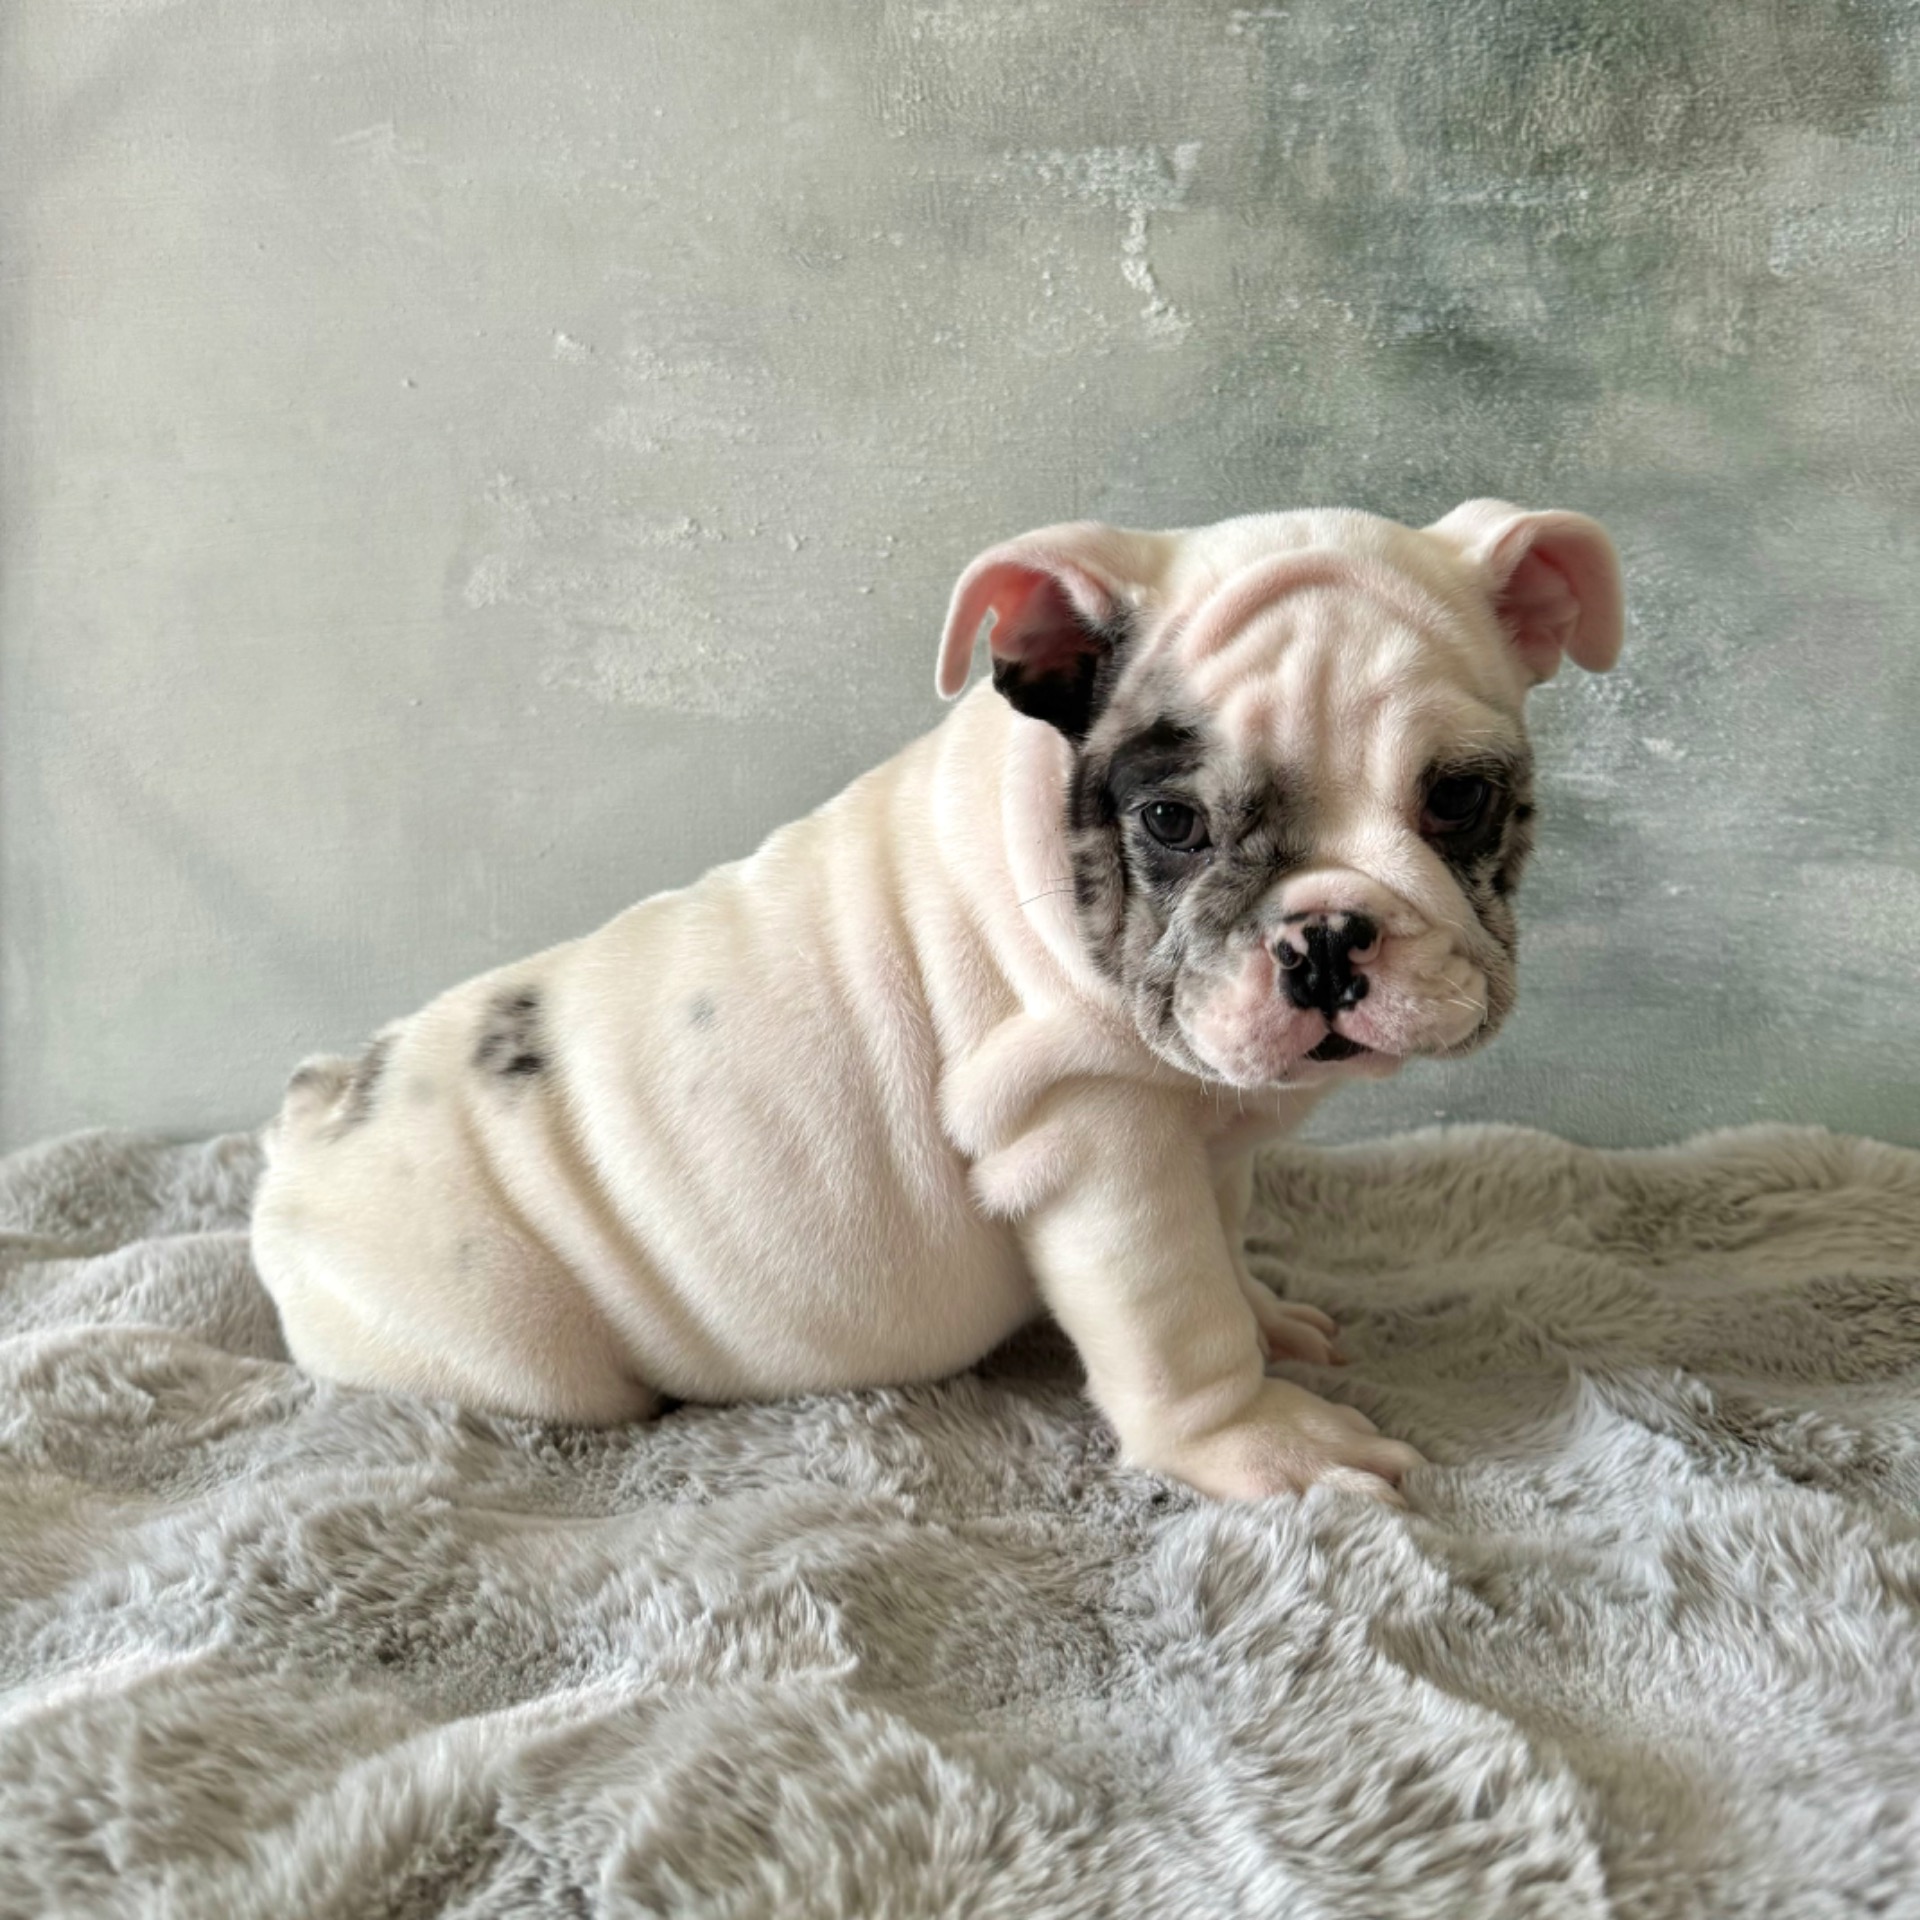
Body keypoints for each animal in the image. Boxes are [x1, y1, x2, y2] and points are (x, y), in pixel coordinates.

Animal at [251, 499, 1623, 1501]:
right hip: (503, 1348)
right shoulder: (1099, 1142)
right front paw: (1260, 1439)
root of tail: (311, 1118)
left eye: (1459, 800)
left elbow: (1225, 1251)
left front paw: (1269, 1316)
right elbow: (1179, 1317)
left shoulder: (1206, 1131)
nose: (1328, 934)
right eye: (1172, 823)